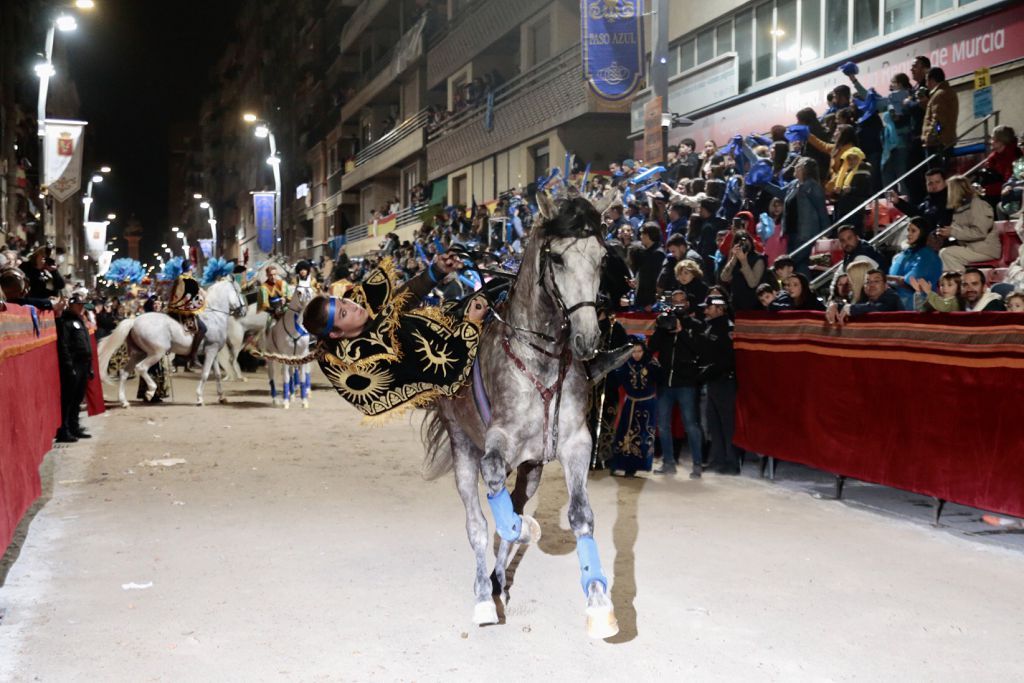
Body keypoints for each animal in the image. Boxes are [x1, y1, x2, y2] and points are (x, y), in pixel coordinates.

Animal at [421, 189, 626, 638]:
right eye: (558, 259)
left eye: (603, 257)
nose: (588, 339)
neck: (541, 361)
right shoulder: (498, 442)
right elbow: (498, 504)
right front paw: (523, 530)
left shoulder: (574, 444)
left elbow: (580, 516)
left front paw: (599, 603)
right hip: (463, 446)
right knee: (479, 525)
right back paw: (484, 595)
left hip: (532, 468)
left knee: (512, 506)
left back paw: (498, 580)